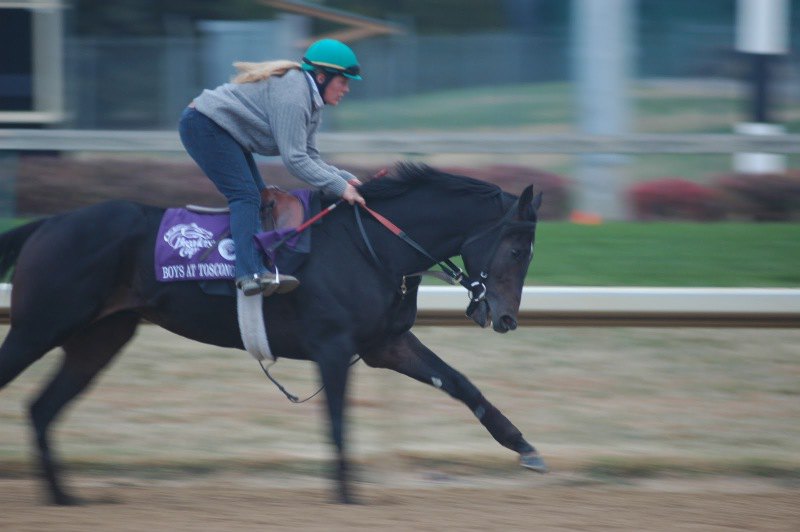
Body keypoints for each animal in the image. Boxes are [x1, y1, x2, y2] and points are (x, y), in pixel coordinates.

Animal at [0, 162, 548, 502]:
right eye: (517, 250)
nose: (506, 318)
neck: (371, 246)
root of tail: (47, 223)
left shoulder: (384, 344)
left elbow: (460, 384)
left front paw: (525, 448)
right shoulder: (334, 346)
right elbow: (337, 420)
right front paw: (347, 496)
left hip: (99, 337)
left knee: (42, 409)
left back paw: (65, 498)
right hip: (38, 325)